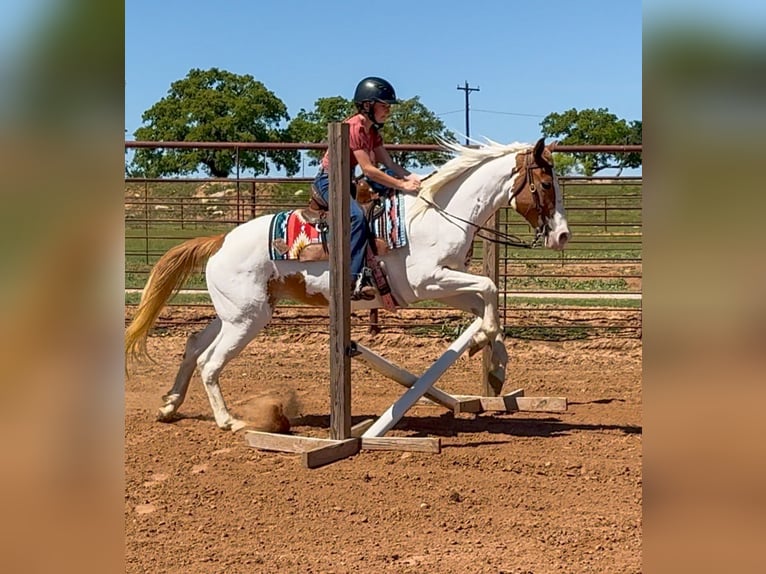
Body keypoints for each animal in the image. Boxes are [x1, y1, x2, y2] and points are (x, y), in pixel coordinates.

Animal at [125, 137, 571, 431]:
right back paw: (229, 421)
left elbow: (482, 301)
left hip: (235, 313)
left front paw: (494, 362)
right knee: (209, 361)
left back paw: (170, 407)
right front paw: (488, 351)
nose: (563, 235)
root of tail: (220, 241)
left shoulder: (442, 286)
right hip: (246, 320)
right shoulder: (427, 282)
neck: (436, 216)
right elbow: (490, 289)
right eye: (547, 184)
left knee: (192, 347)